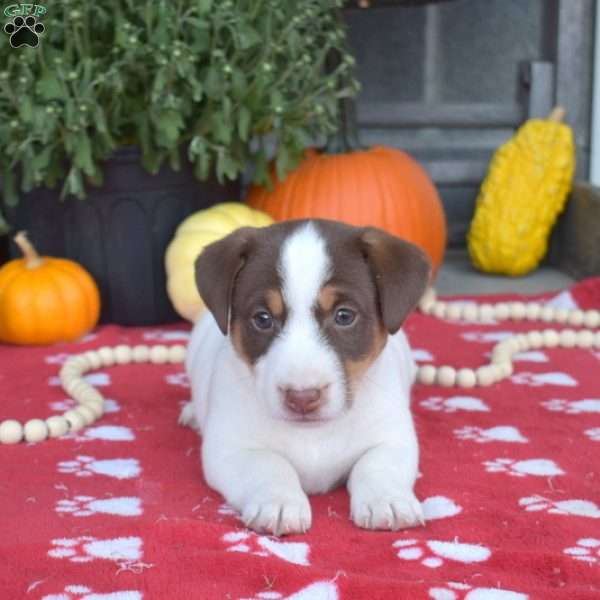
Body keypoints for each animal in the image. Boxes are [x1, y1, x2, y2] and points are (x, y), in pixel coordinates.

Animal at [179, 219, 432, 536]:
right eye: (262, 319)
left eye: (344, 316)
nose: (302, 397)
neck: (314, 433)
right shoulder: (231, 448)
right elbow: (269, 465)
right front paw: (278, 502)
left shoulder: (392, 438)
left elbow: (377, 465)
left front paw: (387, 499)